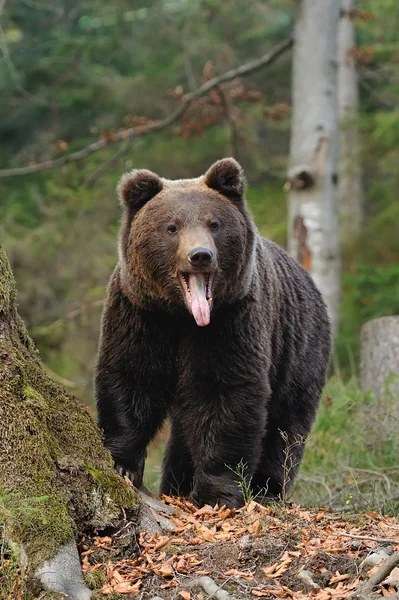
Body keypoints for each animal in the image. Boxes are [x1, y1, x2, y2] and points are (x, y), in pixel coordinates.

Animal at [95, 159, 332, 506]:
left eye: (214, 224)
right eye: (171, 227)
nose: (200, 255)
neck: (183, 316)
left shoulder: (231, 320)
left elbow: (225, 394)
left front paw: (217, 492)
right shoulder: (140, 313)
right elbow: (130, 377)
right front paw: (123, 464)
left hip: (299, 348)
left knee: (286, 426)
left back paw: (267, 488)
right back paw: (176, 484)